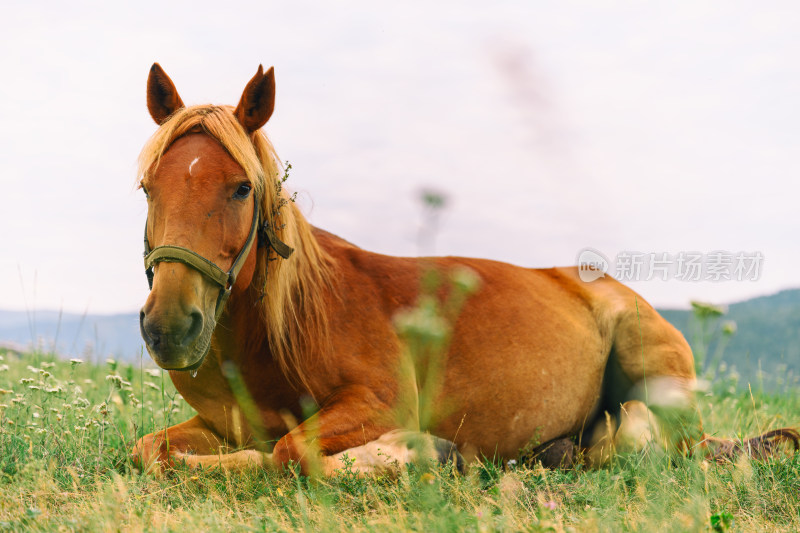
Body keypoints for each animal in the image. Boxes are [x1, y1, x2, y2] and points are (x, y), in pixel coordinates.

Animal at [134, 63, 796, 474]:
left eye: (242, 187)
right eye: (147, 187)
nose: (169, 326)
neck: (288, 329)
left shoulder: (379, 404)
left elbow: (290, 452)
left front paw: (419, 454)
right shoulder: (227, 424)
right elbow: (151, 451)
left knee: (647, 438)